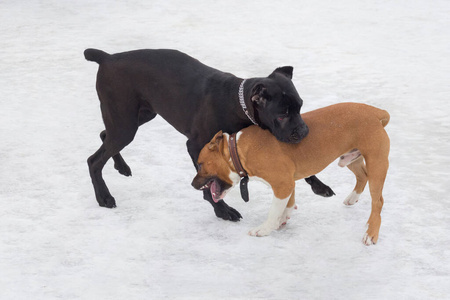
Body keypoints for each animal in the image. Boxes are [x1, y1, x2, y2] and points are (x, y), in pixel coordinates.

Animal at [83, 48, 334, 220]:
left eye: (300, 107)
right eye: (282, 115)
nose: (304, 131)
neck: (237, 103)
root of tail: (107, 58)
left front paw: (319, 185)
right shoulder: (196, 145)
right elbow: (208, 183)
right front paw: (222, 210)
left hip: (138, 116)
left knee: (104, 135)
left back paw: (121, 166)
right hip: (125, 124)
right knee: (94, 160)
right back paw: (104, 197)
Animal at [192, 102, 388, 245]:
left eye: (200, 164)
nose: (192, 184)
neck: (237, 151)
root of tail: (375, 112)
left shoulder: (282, 185)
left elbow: (273, 211)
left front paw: (264, 229)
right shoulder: (288, 182)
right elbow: (288, 203)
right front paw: (283, 218)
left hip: (377, 163)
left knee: (377, 201)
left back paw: (371, 233)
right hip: (351, 158)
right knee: (362, 176)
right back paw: (353, 198)